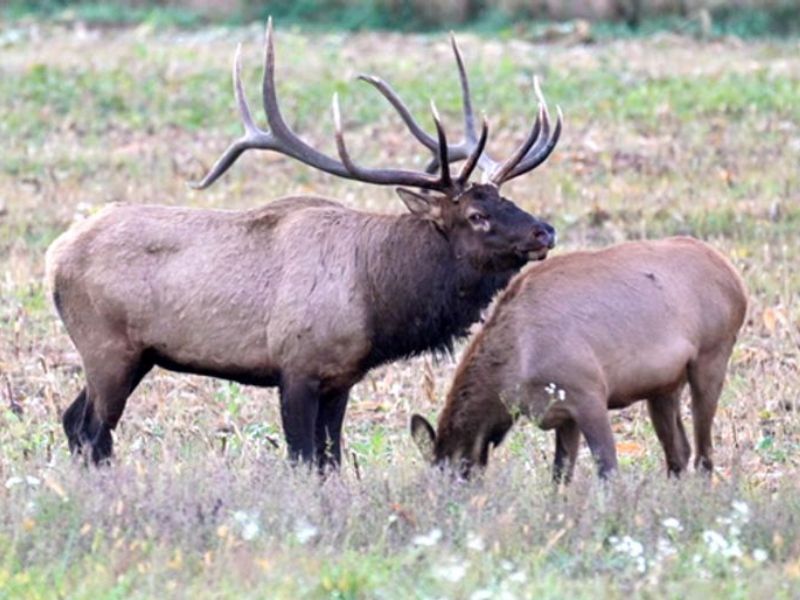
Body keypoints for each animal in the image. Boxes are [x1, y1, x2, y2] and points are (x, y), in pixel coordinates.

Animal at [46, 20, 563, 470]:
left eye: (507, 199)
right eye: (476, 216)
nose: (544, 231)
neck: (377, 301)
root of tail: (54, 257)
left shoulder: (341, 378)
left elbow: (329, 460)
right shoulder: (295, 367)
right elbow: (302, 457)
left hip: (136, 355)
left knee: (74, 422)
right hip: (106, 345)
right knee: (93, 429)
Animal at [411, 237, 747, 480]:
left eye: (453, 475)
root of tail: (734, 277)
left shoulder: (588, 393)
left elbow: (608, 470)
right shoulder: (563, 414)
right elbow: (560, 475)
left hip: (712, 357)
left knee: (705, 453)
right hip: (663, 386)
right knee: (679, 451)